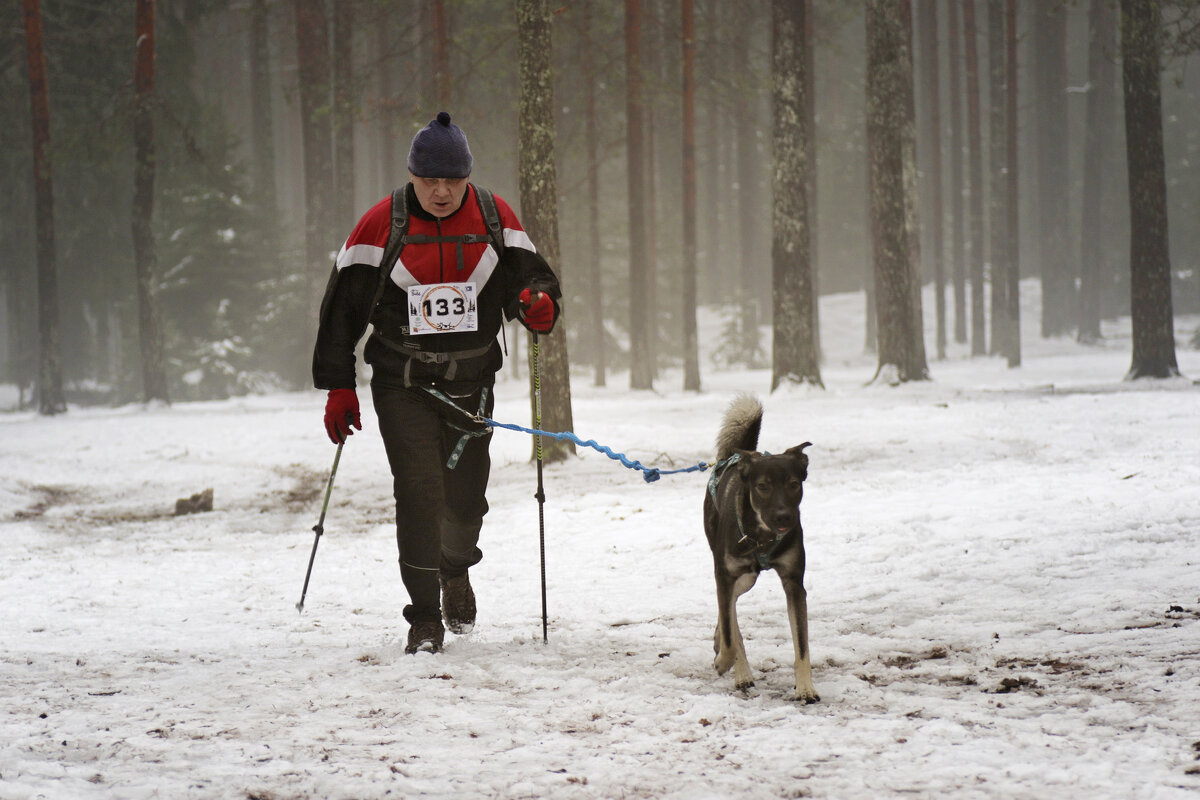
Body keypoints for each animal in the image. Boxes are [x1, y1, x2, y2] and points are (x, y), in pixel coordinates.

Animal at [700, 393, 816, 700]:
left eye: (793, 484)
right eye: (762, 486)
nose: (784, 517)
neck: (762, 536)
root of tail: (735, 456)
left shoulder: (794, 583)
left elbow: (802, 645)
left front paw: (806, 688)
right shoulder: (725, 574)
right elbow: (731, 633)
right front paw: (725, 661)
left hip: (747, 578)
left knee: (728, 610)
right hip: (735, 573)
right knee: (729, 614)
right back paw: (741, 672)